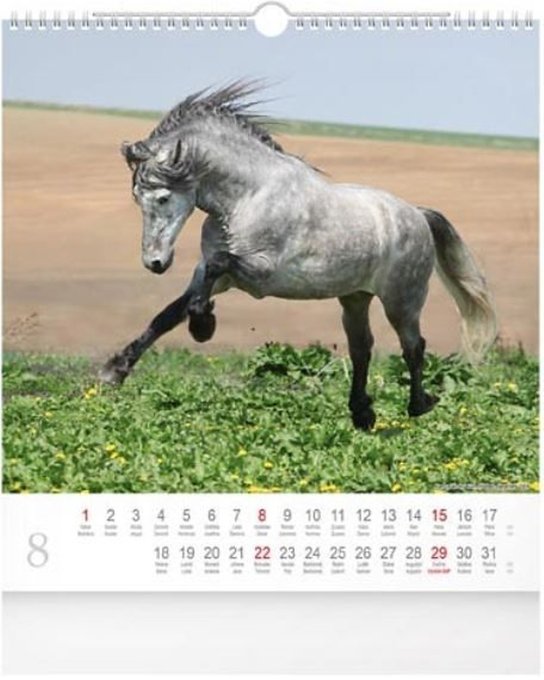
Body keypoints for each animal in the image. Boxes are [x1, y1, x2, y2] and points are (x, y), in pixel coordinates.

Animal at [99, 81, 497, 431]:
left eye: (163, 197)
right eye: (136, 197)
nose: (155, 263)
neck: (247, 198)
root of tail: (417, 214)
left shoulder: (261, 274)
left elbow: (217, 266)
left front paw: (202, 326)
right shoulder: (216, 277)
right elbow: (169, 314)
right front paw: (114, 371)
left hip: (402, 299)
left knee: (413, 347)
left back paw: (419, 405)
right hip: (355, 298)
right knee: (361, 349)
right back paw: (362, 413)